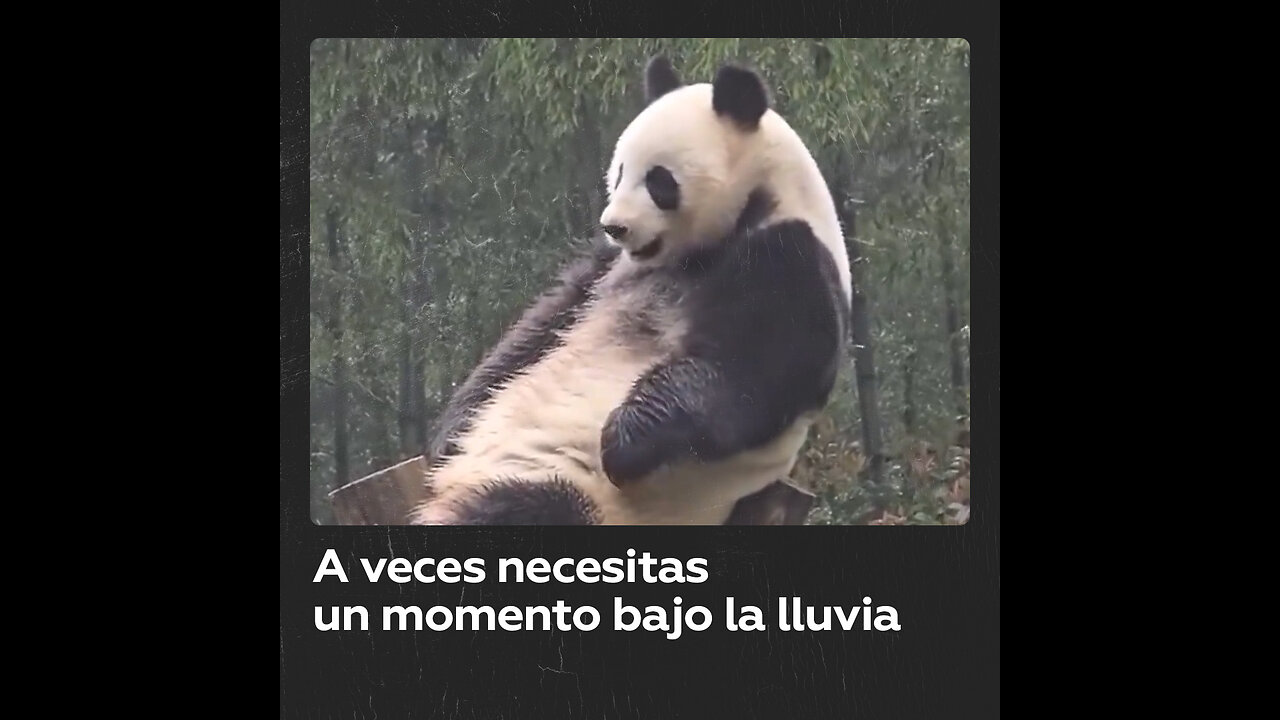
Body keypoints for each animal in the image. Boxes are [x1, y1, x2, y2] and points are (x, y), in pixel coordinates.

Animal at [409, 56, 849, 525]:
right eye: (619, 173)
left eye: (659, 181)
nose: (614, 226)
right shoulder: (609, 267)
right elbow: (543, 323)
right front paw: (452, 429)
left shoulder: (789, 260)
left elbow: (750, 370)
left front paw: (621, 440)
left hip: (574, 489)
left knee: (527, 507)